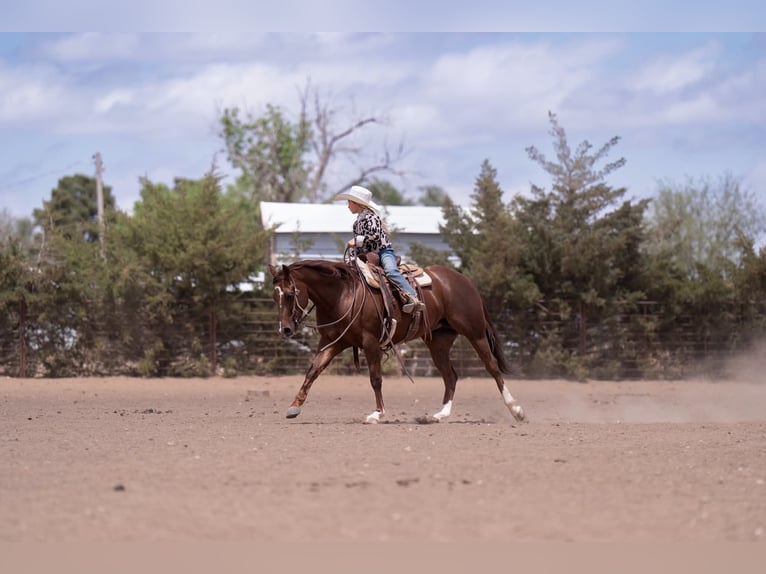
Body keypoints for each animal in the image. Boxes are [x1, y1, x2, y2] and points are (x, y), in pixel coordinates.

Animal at [268, 259, 525, 424]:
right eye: (274, 296)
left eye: (290, 294)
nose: (285, 329)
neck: (344, 294)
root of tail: (463, 281)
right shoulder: (332, 342)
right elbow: (313, 370)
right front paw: (294, 407)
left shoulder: (371, 342)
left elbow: (375, 378)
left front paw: (377, 413)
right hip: (439, 342)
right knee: (450, 375)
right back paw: (438, 415)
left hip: (475, 333)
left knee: (492, 367)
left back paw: (516, 410)